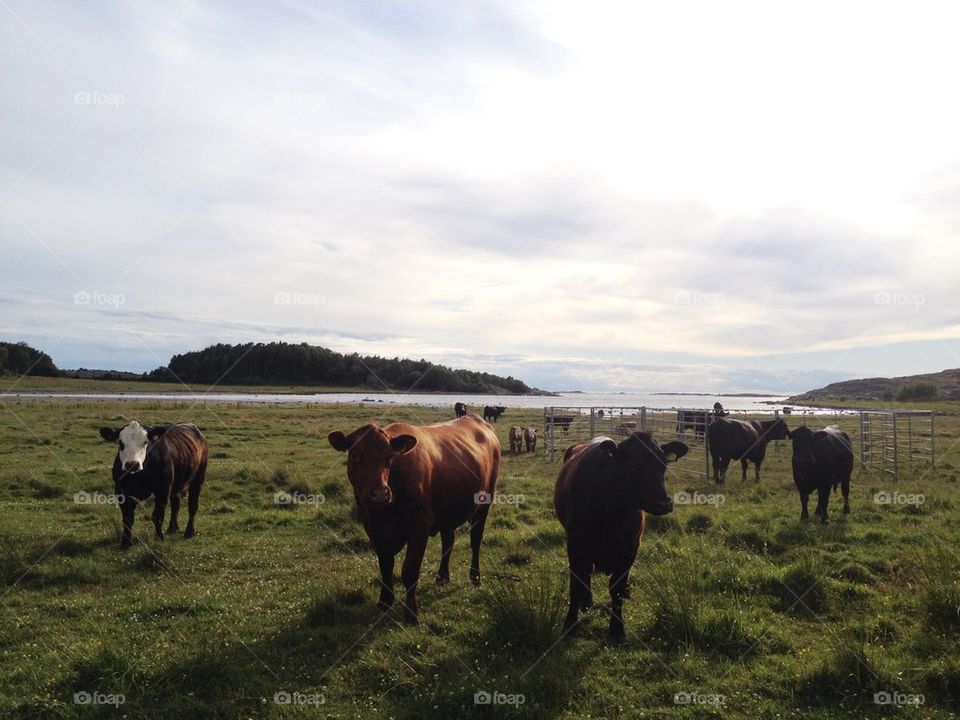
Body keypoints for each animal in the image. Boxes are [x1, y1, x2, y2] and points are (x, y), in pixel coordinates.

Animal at [98, 421, 208, 550]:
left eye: (145, 442)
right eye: (120, 443)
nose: (132, 464)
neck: (138, 478)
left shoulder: (163, 492)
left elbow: (158, 516)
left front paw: (159, 539)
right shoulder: (122, 494)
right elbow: (127, 519)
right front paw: (125, 543)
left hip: (198, 478)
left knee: (192, 506)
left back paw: (189, 532)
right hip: (176, 485)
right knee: (176, 504)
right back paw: (172, 528)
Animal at [327, 414, 500, 624]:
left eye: (389, 457)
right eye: (355, 455)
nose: (380, 493)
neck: (382, 514)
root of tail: (476, 418)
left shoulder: (420, 527)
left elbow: (409, 570)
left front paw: (411, 613)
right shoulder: (373, 529)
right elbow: (385, 565)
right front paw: (385, 601)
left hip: (484, 503)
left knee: (475, 540)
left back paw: (475, 577)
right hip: (447, 512)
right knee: (448, 541)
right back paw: (442, 576)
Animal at [555, 431, 688, 641]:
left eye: (663, 464)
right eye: (633, 466)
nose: (663, 504)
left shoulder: (631, 546)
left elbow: (615, 588)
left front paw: (617, 629)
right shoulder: (575, 543)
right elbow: (576, 585)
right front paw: (570, 625)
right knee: (586, 574)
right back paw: (587, 601)